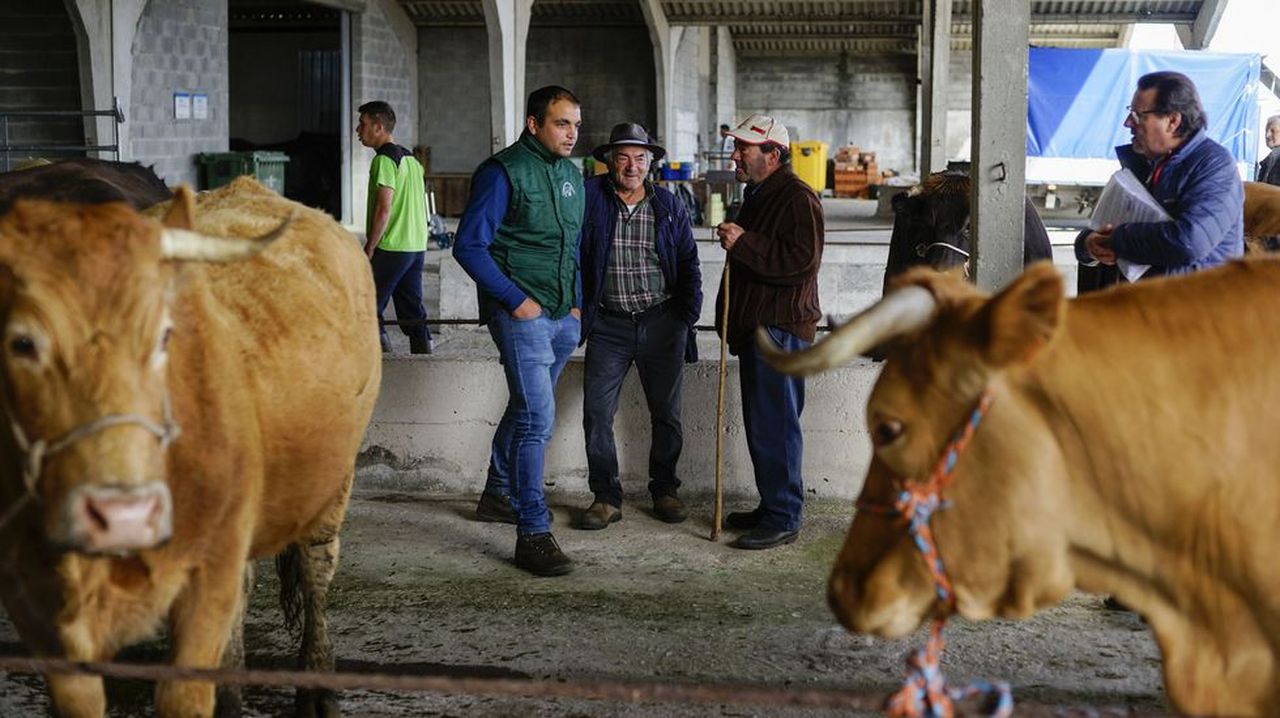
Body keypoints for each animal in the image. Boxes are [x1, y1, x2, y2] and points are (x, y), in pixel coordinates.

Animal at [0, 175, 378, 716]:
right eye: (23, 343)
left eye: (163, 335)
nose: (120, 510)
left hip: (334, 482)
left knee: (316, 569)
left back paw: (316, 687)